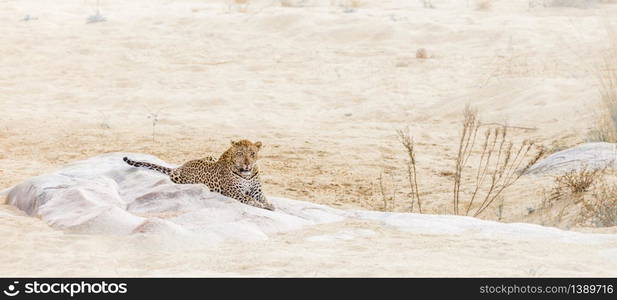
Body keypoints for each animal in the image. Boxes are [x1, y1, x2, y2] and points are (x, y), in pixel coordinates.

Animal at [122, 139, 272, 210]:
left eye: (252, 153)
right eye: (240, 153)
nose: (247, 164)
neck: (247, 174)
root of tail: (181, 166)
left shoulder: (257, 191)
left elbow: (264, 198)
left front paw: (269, 204)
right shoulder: (233, 192)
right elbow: (249, 199)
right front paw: (261, 205)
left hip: (210, 156)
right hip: (177, 178)